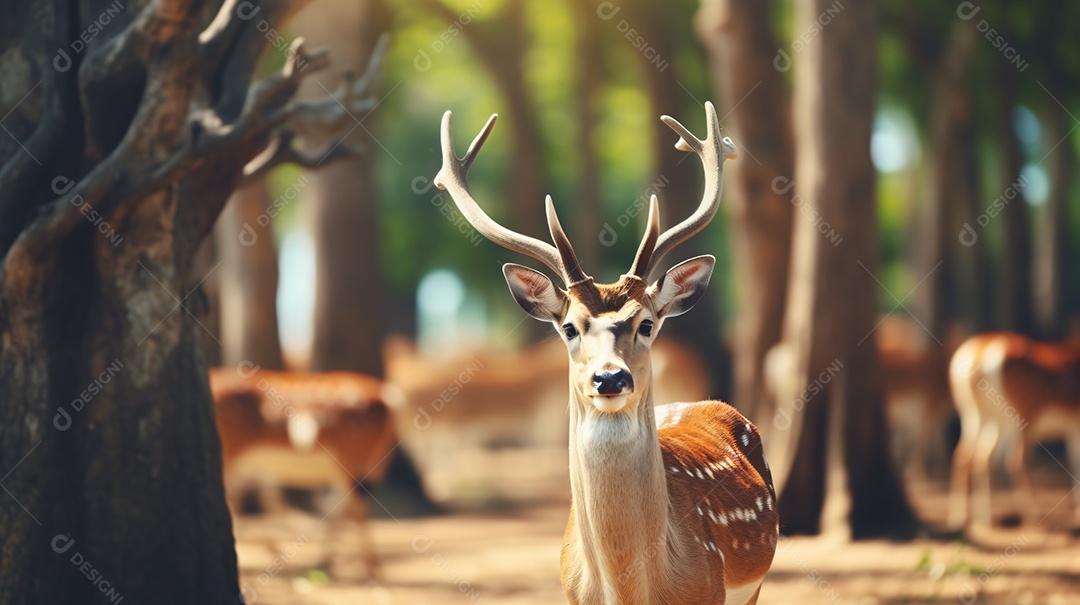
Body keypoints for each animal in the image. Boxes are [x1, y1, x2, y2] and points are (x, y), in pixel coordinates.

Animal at [946, 330, 1080, 529]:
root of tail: (979, 352)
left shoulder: (1072, 428)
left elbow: (1074, 461)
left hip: (978, 416)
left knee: (970, 455)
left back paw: (968, 517)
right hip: (1021, 418)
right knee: (1014, 459)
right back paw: (1033, 516)